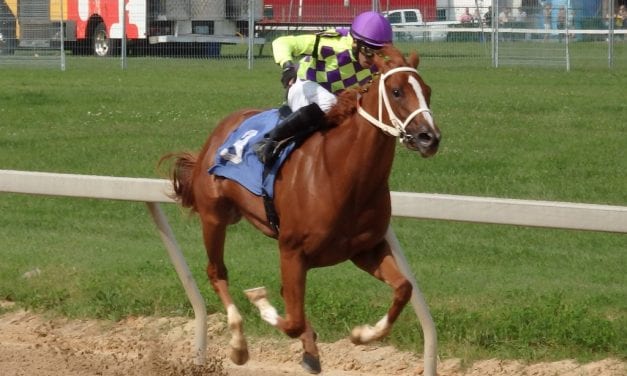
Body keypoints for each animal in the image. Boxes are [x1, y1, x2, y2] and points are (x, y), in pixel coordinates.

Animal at [162, 45, 442, 374]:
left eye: (427, 91)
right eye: (397, 91)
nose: (429, 138)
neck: (342, 175)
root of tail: (220, 130)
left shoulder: (364, 249)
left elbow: (403, 288)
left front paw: (363, 334)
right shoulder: (292, 250)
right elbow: (292, 319)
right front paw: (261, 303)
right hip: (214, 216)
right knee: (216, 272)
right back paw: (239, 345)